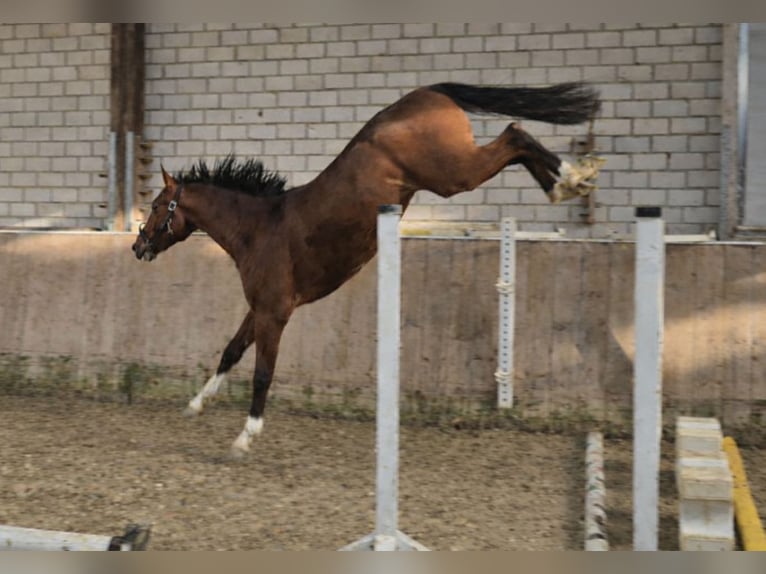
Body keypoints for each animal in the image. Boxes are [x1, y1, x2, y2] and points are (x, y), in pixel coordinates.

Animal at [131, 81, 601, 458]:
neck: (259, 228)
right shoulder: (260, 308)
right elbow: (230, 351)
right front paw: (195, 404)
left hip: (453, 174)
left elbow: (262, 373)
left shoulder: (275, 314)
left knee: (514, 134)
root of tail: (427, 92)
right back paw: (570, 182)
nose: (137, 247)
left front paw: (244, 438)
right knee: (517, 138)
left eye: (155, 206)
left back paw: (571, 178)